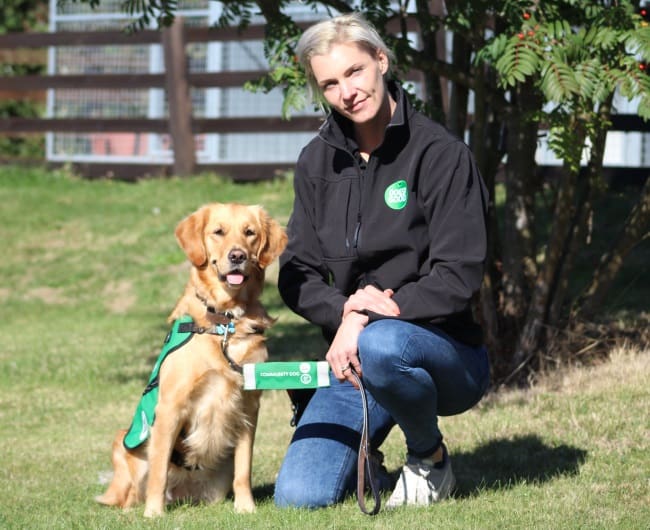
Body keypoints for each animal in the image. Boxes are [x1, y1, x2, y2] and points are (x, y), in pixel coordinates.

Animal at [95, 200, 286, 512]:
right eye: (218, 232)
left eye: (250, 233)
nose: (237, 256)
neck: (224, 321)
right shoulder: (171, 406)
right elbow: (159, 471)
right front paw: (154, 513)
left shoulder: (249, 406)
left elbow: (244, 468)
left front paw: (246, 507)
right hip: (123, 444)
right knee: (132, 492)